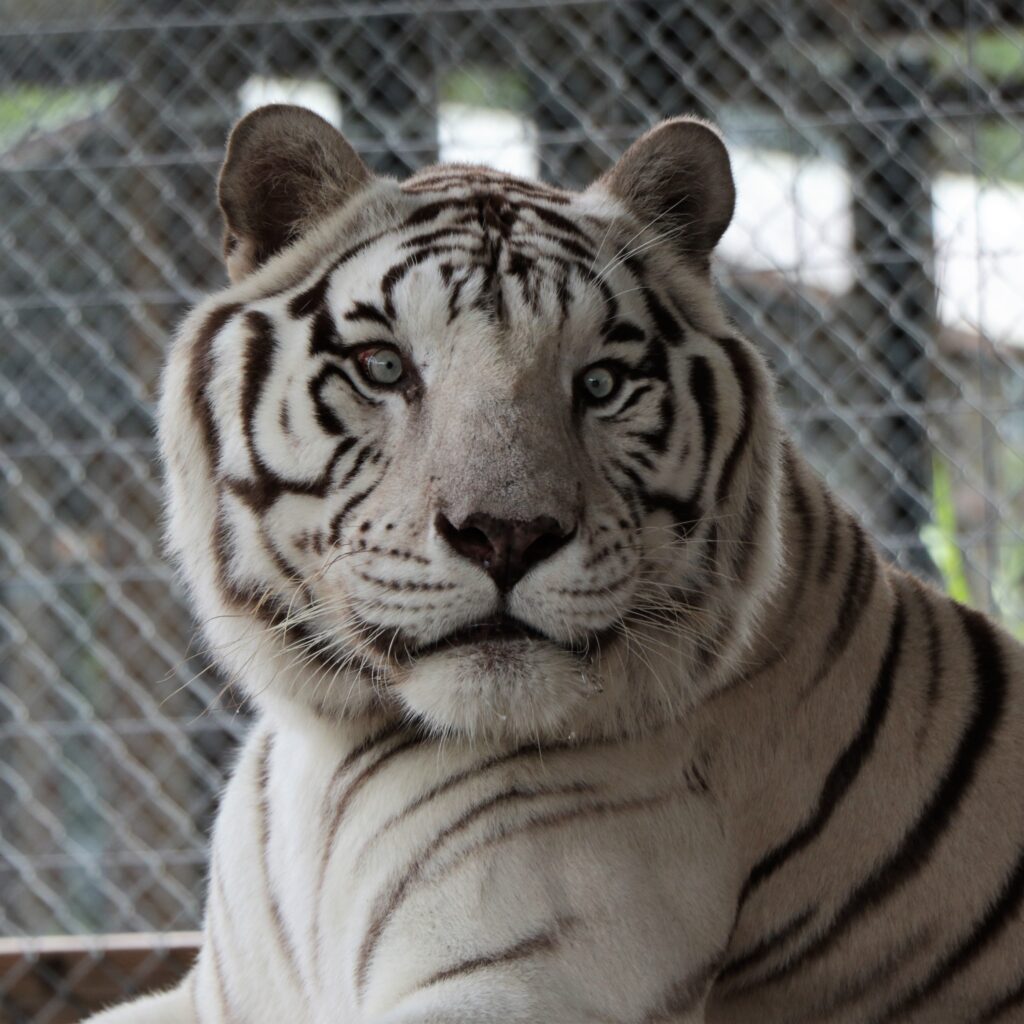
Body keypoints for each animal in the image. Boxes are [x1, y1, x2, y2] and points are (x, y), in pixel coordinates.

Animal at [83, 102, 1024, 1024]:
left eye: (600, 383)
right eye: (384, 366)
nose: (507, 534)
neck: (328, 749)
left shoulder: (528, 978)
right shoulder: (212, 995)